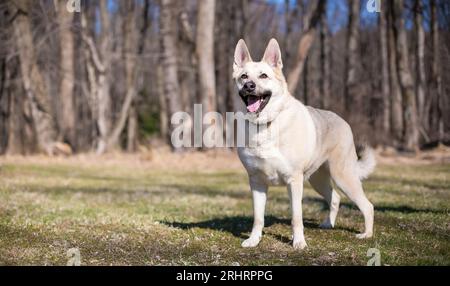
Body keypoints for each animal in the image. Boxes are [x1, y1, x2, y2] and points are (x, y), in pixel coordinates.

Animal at [234, 38, 374, 250]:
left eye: (263, 76)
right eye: (243, 76)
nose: (249, 86)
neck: (265, 125)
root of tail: (343, 121)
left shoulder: (294, 181)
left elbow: (296, 217)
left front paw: (299, 242)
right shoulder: (256, 182)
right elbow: (258, 218)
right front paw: (254, 240)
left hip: (343, 177)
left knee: (368, 206)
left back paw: (367, 234)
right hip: (317, 180)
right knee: (335, 198)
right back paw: (328, 224)